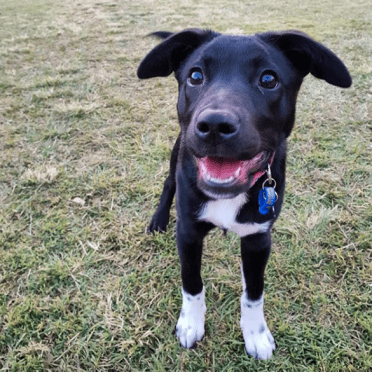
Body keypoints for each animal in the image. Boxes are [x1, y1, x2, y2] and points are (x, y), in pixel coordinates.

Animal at [137, 29, 352, 360]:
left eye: (268, 79)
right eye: (195, 76)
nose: (214, 125)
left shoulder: (258, 239)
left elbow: (254, 292)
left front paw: (256, 335)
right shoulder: (187, 232)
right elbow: (192, 283)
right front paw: (190, 324)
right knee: (167, 185)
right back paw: (158, 220)